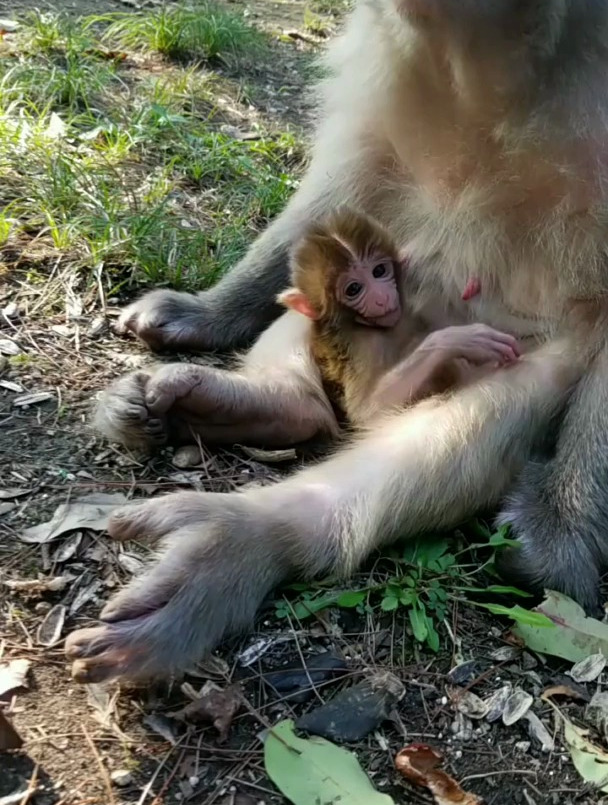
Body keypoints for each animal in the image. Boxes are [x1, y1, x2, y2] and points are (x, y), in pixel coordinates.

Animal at [278, 207, 520, 424]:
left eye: (379, 271)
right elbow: (369, 411)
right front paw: (460, 340)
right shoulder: (360, 345)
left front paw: (472, 287)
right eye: (353, 289)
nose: (382, 297)